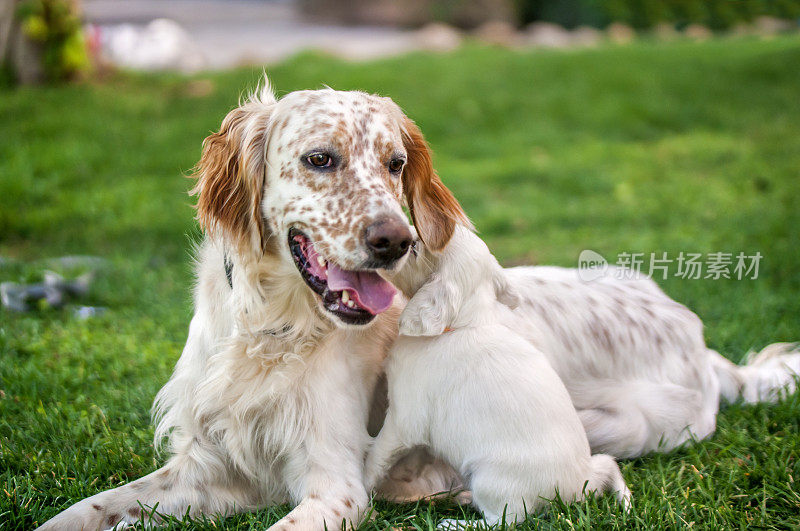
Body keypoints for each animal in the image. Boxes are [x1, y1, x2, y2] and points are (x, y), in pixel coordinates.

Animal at [368, 225, 632, 528]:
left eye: (414, 248)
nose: (402, 234)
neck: (465, 323)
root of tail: (576, 487)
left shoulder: (403, 418)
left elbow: (376, 455)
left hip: (492, 480)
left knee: (503, 520)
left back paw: (455, 522)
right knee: (607, 462)